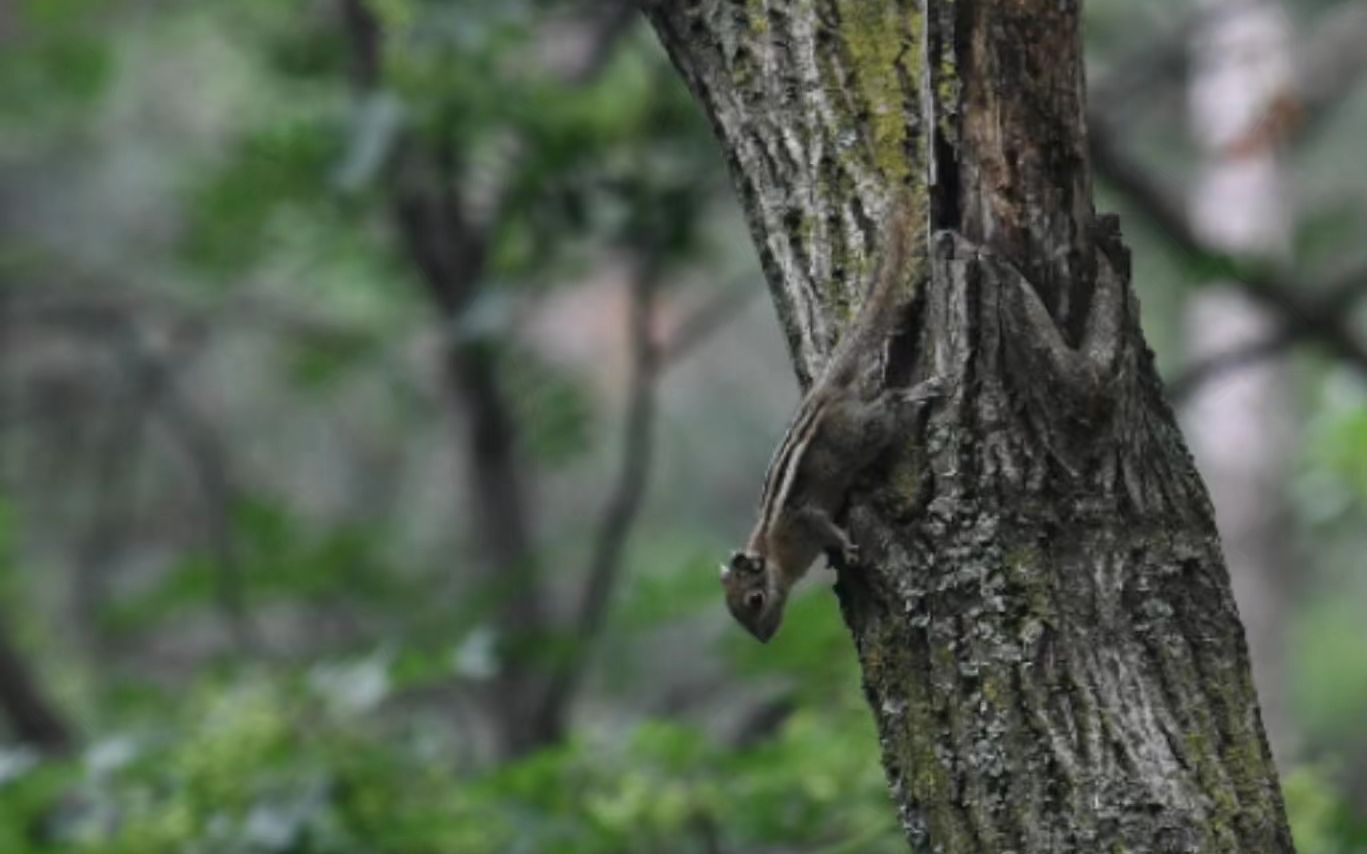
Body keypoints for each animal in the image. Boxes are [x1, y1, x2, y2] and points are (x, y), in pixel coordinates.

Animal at [727, 198, 940, 639]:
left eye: (754, 600)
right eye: (736, 614)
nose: (764, 639)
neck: (773, 551)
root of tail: (825, 393)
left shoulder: (805, 517)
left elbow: (826, 525)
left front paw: (845, 546)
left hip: (860, 432)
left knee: (887, 406)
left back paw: (914, 394)